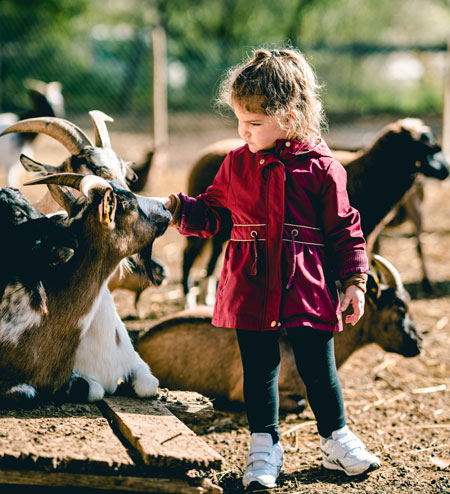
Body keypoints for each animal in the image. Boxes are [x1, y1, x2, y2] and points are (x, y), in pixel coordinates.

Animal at [181, 119, 448, 304]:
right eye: (427, 147)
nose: (446, 171)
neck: (370, 171)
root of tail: (204, 153)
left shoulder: (367, 235)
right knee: (189, 256)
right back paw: (187, 299)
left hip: (224, 228)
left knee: (211, 260)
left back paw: (206, 298)